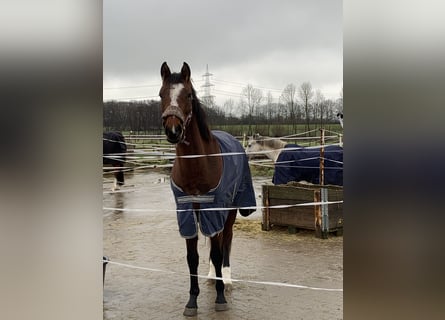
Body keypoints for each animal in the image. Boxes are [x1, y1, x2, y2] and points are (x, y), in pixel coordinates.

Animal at [158, 61, 255, 316]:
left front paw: (220, 298)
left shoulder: (215, 208)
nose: (173, 130)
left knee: (226, 240)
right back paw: (213, 275)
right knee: (214, 243)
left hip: (230, 210)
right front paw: (192, 301)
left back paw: (226, 279)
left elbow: (218, 252)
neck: (198, 164)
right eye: (161, 94)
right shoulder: (187, 212)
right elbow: (193, 257)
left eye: (189, 95)